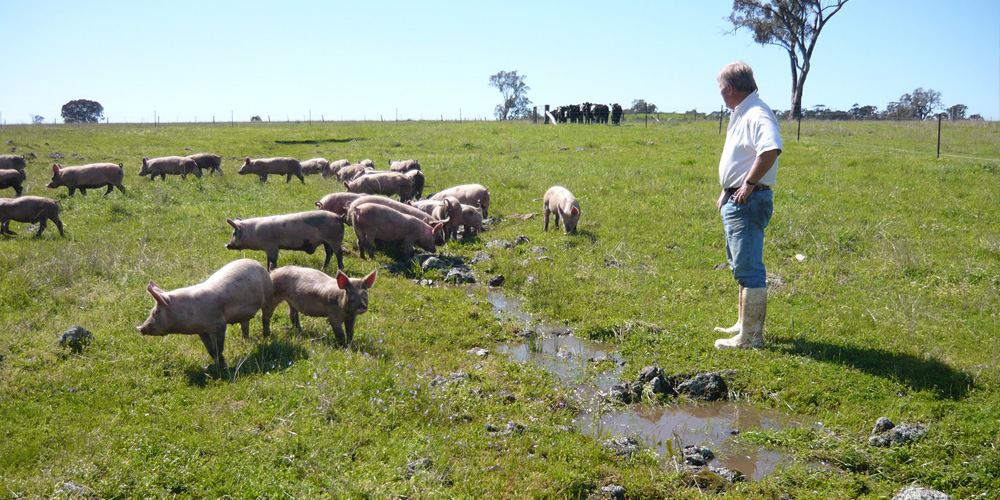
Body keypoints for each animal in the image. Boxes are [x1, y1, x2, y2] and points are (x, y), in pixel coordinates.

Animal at [139, 260, 276, 370]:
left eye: (156, 312)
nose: (139, 328)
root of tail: (258, 263)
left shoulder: (219, 324)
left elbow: (218, 349)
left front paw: (224, 369)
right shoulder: (201, 331)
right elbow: (210, 350)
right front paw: (212, 367)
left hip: (269, 293)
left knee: (265, 317)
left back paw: (266, 336)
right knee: (245, 326)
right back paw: (244, 344)